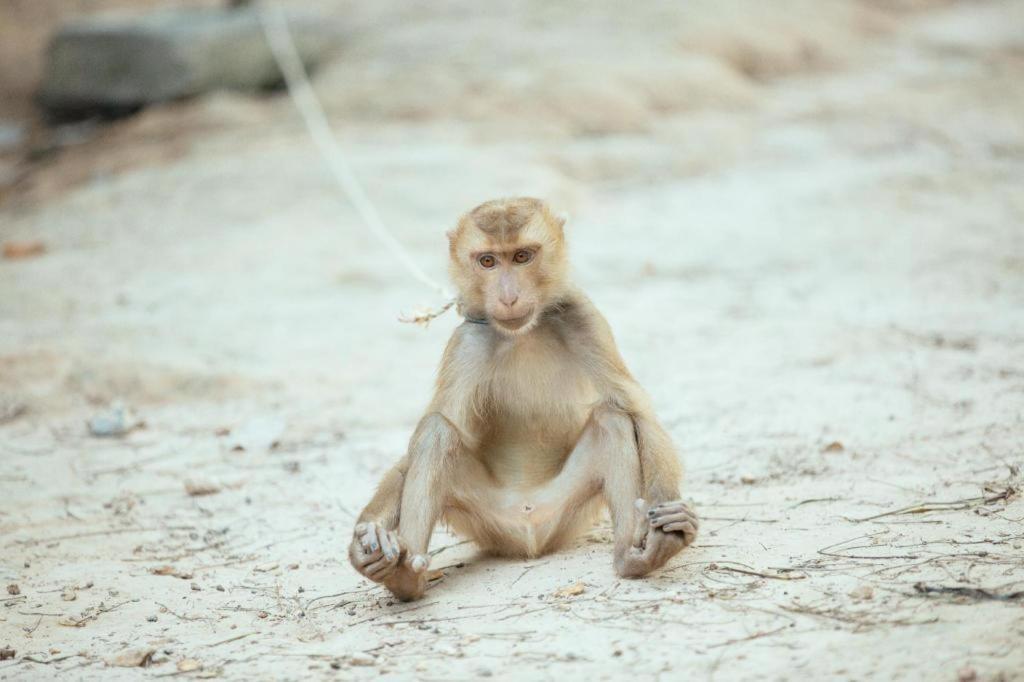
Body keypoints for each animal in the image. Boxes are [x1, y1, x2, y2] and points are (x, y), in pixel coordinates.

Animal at [350, 197, 696, 602]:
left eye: (521, 256)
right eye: (487, 261)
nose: (508, 296)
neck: (522, 334)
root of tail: (527, 533)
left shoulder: (582, 316)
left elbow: (635, 410)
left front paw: (666, 531)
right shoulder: (469, 342)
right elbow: (437, 426)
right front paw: (365, 541)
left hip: (563, 515)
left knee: (611, 420)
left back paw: (633, 557)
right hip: (488, 522)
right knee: (437, 432)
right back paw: (405, 577)